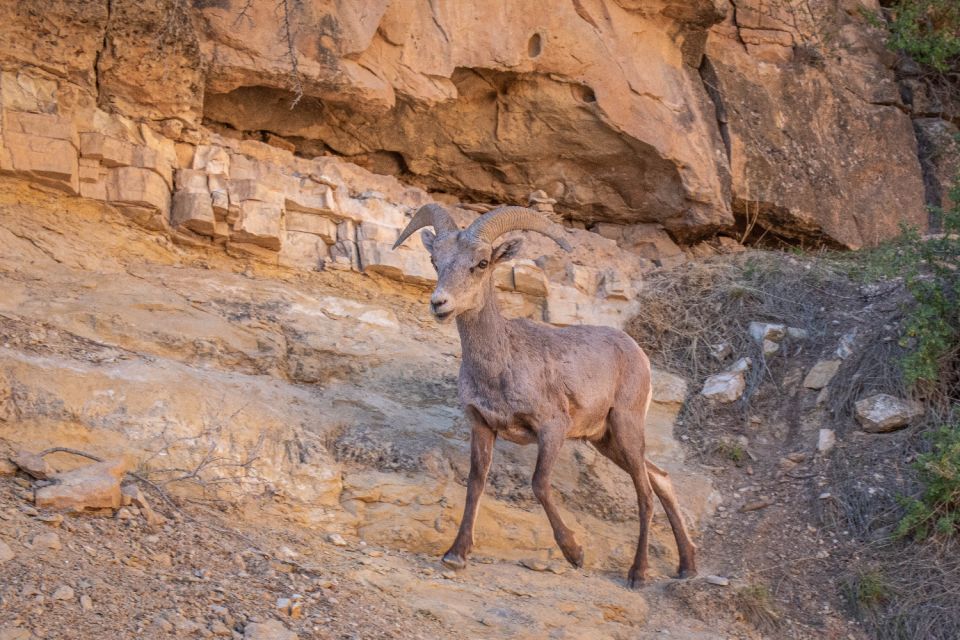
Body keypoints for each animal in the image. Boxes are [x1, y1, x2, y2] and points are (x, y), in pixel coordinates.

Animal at [390, 204, 696, 584]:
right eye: (435, 261)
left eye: (481, 263)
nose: (439, 303)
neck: (501, 365)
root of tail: (637, 353)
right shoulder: (482, 426)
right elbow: (476, 482)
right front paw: (456, 555)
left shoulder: (552, 428)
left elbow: (538, 484)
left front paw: (575, 553)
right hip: (605, 440)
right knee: (661, 479)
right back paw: (687, 566)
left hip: (626, 428)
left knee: (645, 492)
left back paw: (638, 573)